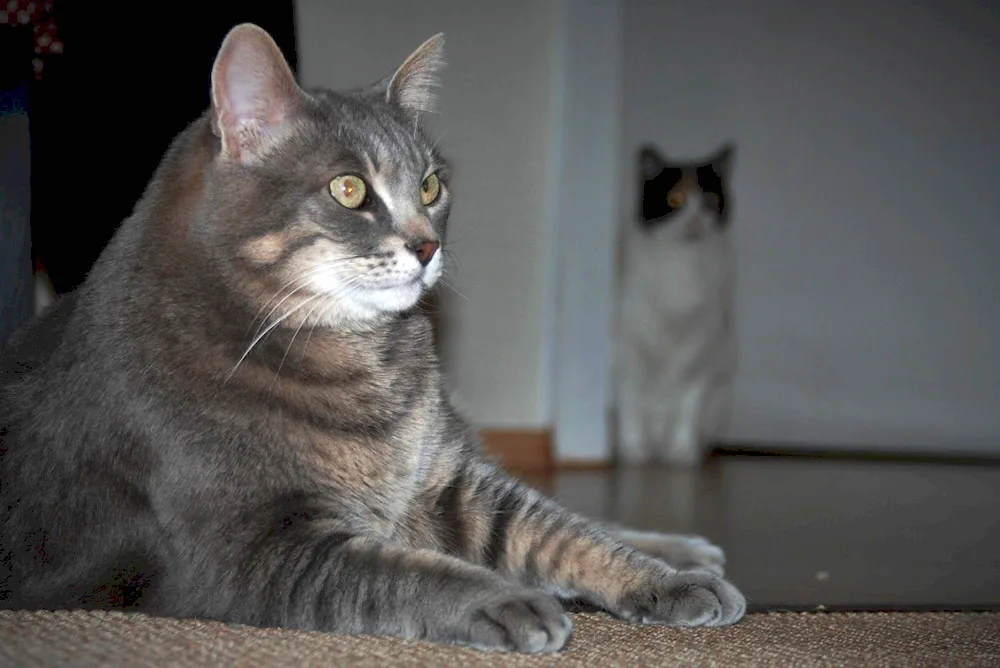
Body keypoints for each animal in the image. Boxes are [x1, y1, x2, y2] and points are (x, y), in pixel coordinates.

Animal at [612, 144, 740, 468]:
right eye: (675, 200)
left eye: (710, 200)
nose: (695, 220)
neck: (683, 263)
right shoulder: (630, 349)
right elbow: (632, 400)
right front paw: (634, 449)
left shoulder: (702, 353)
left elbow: (689, 405)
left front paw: (682, 452)